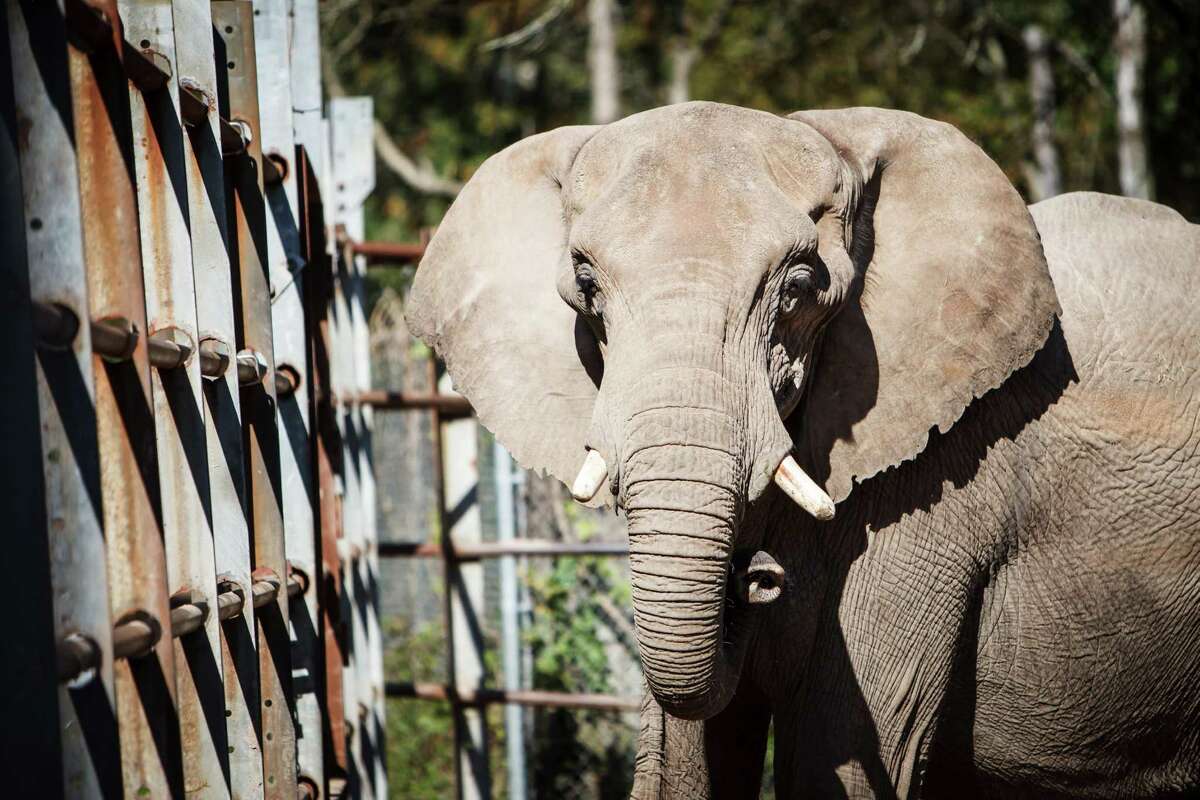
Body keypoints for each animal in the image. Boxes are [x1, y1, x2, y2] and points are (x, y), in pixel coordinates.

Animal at [405, 103, 1200, 796]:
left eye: (796, 289)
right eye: (586, 285)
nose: (755, 574)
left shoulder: (939, 486)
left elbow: (834, 760)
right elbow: (685, 764)